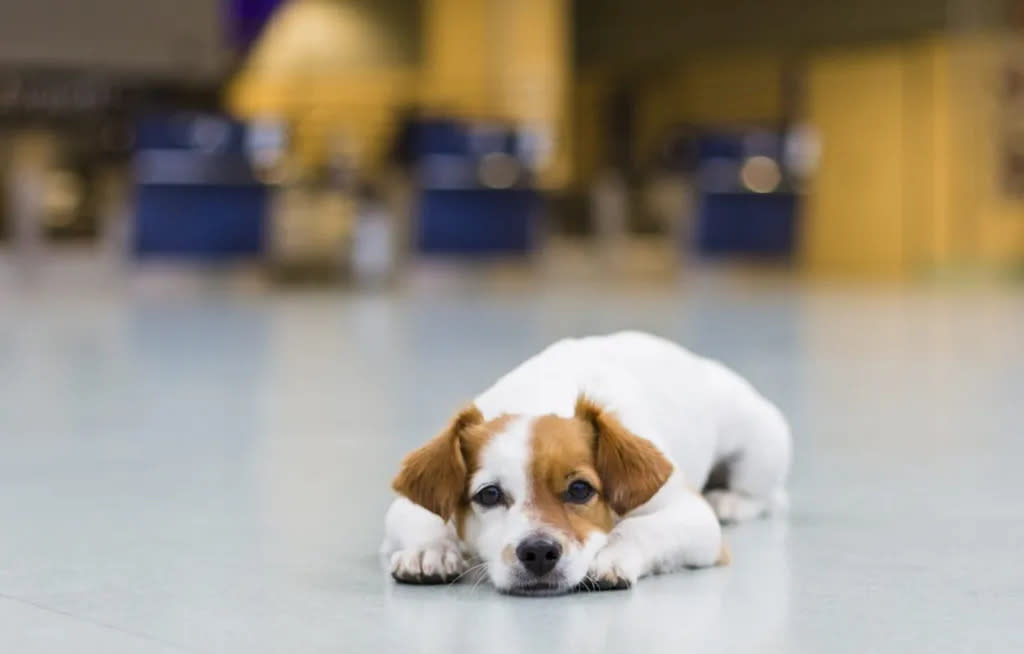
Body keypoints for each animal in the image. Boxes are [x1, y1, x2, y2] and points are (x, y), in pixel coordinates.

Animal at [380, 329, 786, 597]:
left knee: (767, 497)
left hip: (761, 445)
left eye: (580, 489)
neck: (541, 395)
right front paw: (430, 550)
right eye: (489, 494)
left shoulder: (694, 518)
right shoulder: (408, 505)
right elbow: (426, 518)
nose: (538, 553)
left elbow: (637, 528)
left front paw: (610, 557)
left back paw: (731, 500)